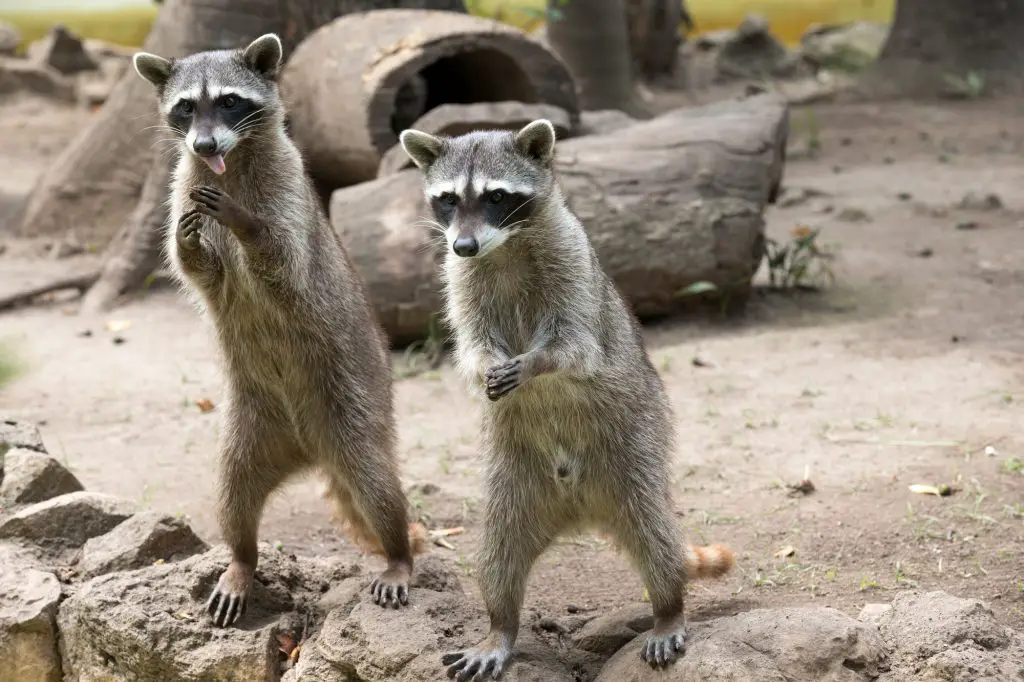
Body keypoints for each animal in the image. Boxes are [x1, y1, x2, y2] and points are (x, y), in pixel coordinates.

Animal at [133, 34, 423, 622]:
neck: (231, 161)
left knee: (379, 487)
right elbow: (195, 267)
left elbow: (285, 262)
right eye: (185, 107)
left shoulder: (289, 196)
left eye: (228, 102)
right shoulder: (183, 185)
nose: (203, 144)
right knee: (233, 495)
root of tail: (310, 451)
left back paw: (398, 552)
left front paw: (245, 223)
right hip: (249, 429)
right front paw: (189, 243)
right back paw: (242, 560)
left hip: (357, 407)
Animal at [399, 119, 737, 675]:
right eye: (448, 200)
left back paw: (668, 607)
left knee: (656, 537)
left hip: (635, 448)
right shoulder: (460, 280)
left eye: (496, 197)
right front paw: (487, 364)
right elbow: (471, 347)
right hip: (513, 484)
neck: (503, 248)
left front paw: (537, 362)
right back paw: (500, 626)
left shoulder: (573, 265)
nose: (465, 245)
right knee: (498, 557)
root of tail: (579, 509)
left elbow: (576, 345)